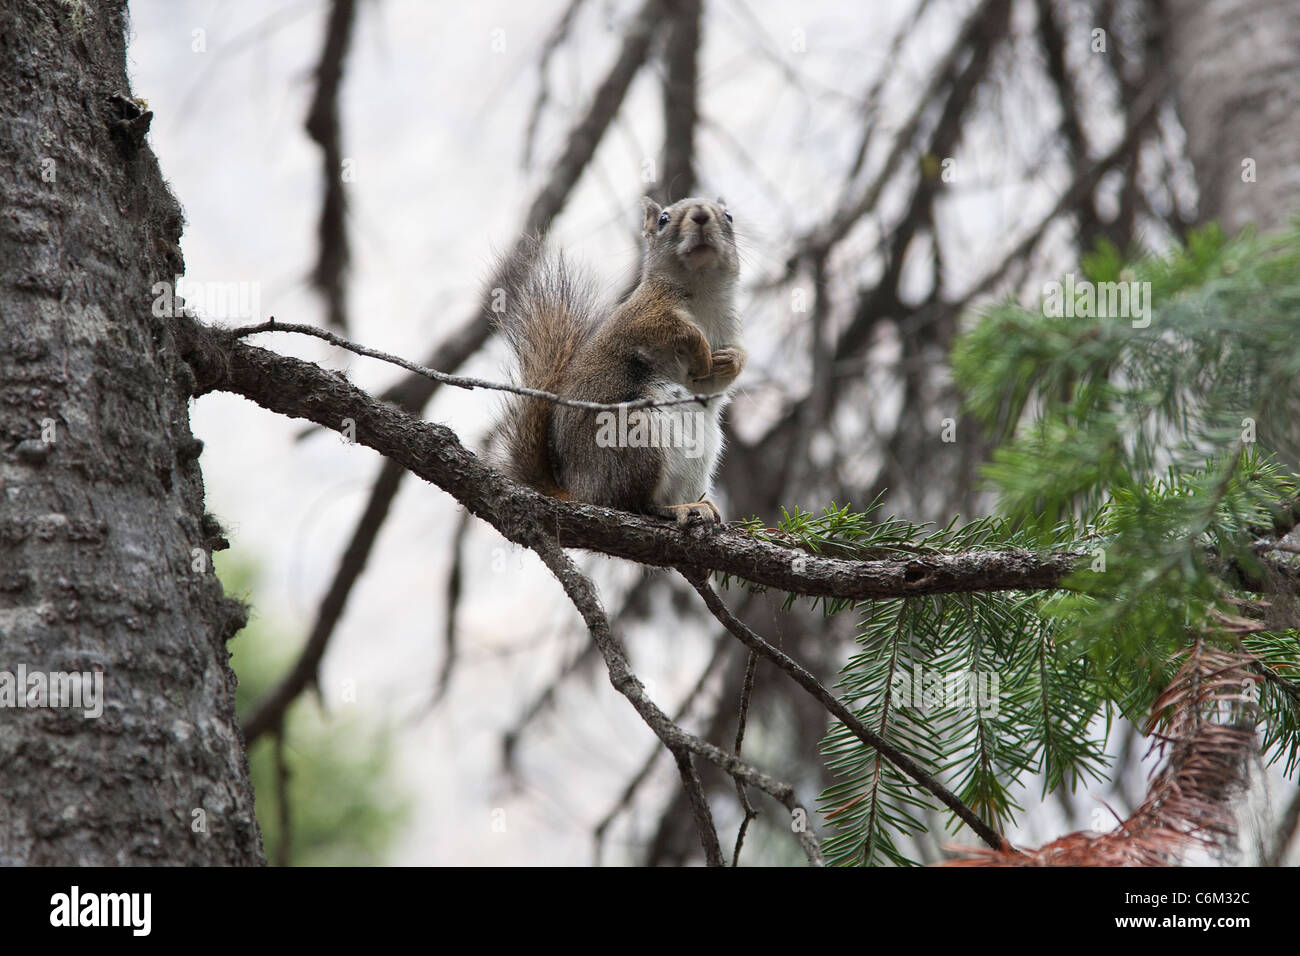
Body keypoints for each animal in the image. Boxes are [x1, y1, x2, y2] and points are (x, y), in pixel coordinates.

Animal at [491, 195, 748, 522]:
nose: (702, 215)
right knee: (633, 502)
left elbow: (720, 376)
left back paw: (697, 504)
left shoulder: (729, 329)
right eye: (664, 219)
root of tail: (582, 492)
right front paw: (700, 348)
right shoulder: (641, 317)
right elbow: (675, 330)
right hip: (635, 436)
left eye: (728, 216)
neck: (704, 290)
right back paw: (677, 508)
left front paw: (730, 360)